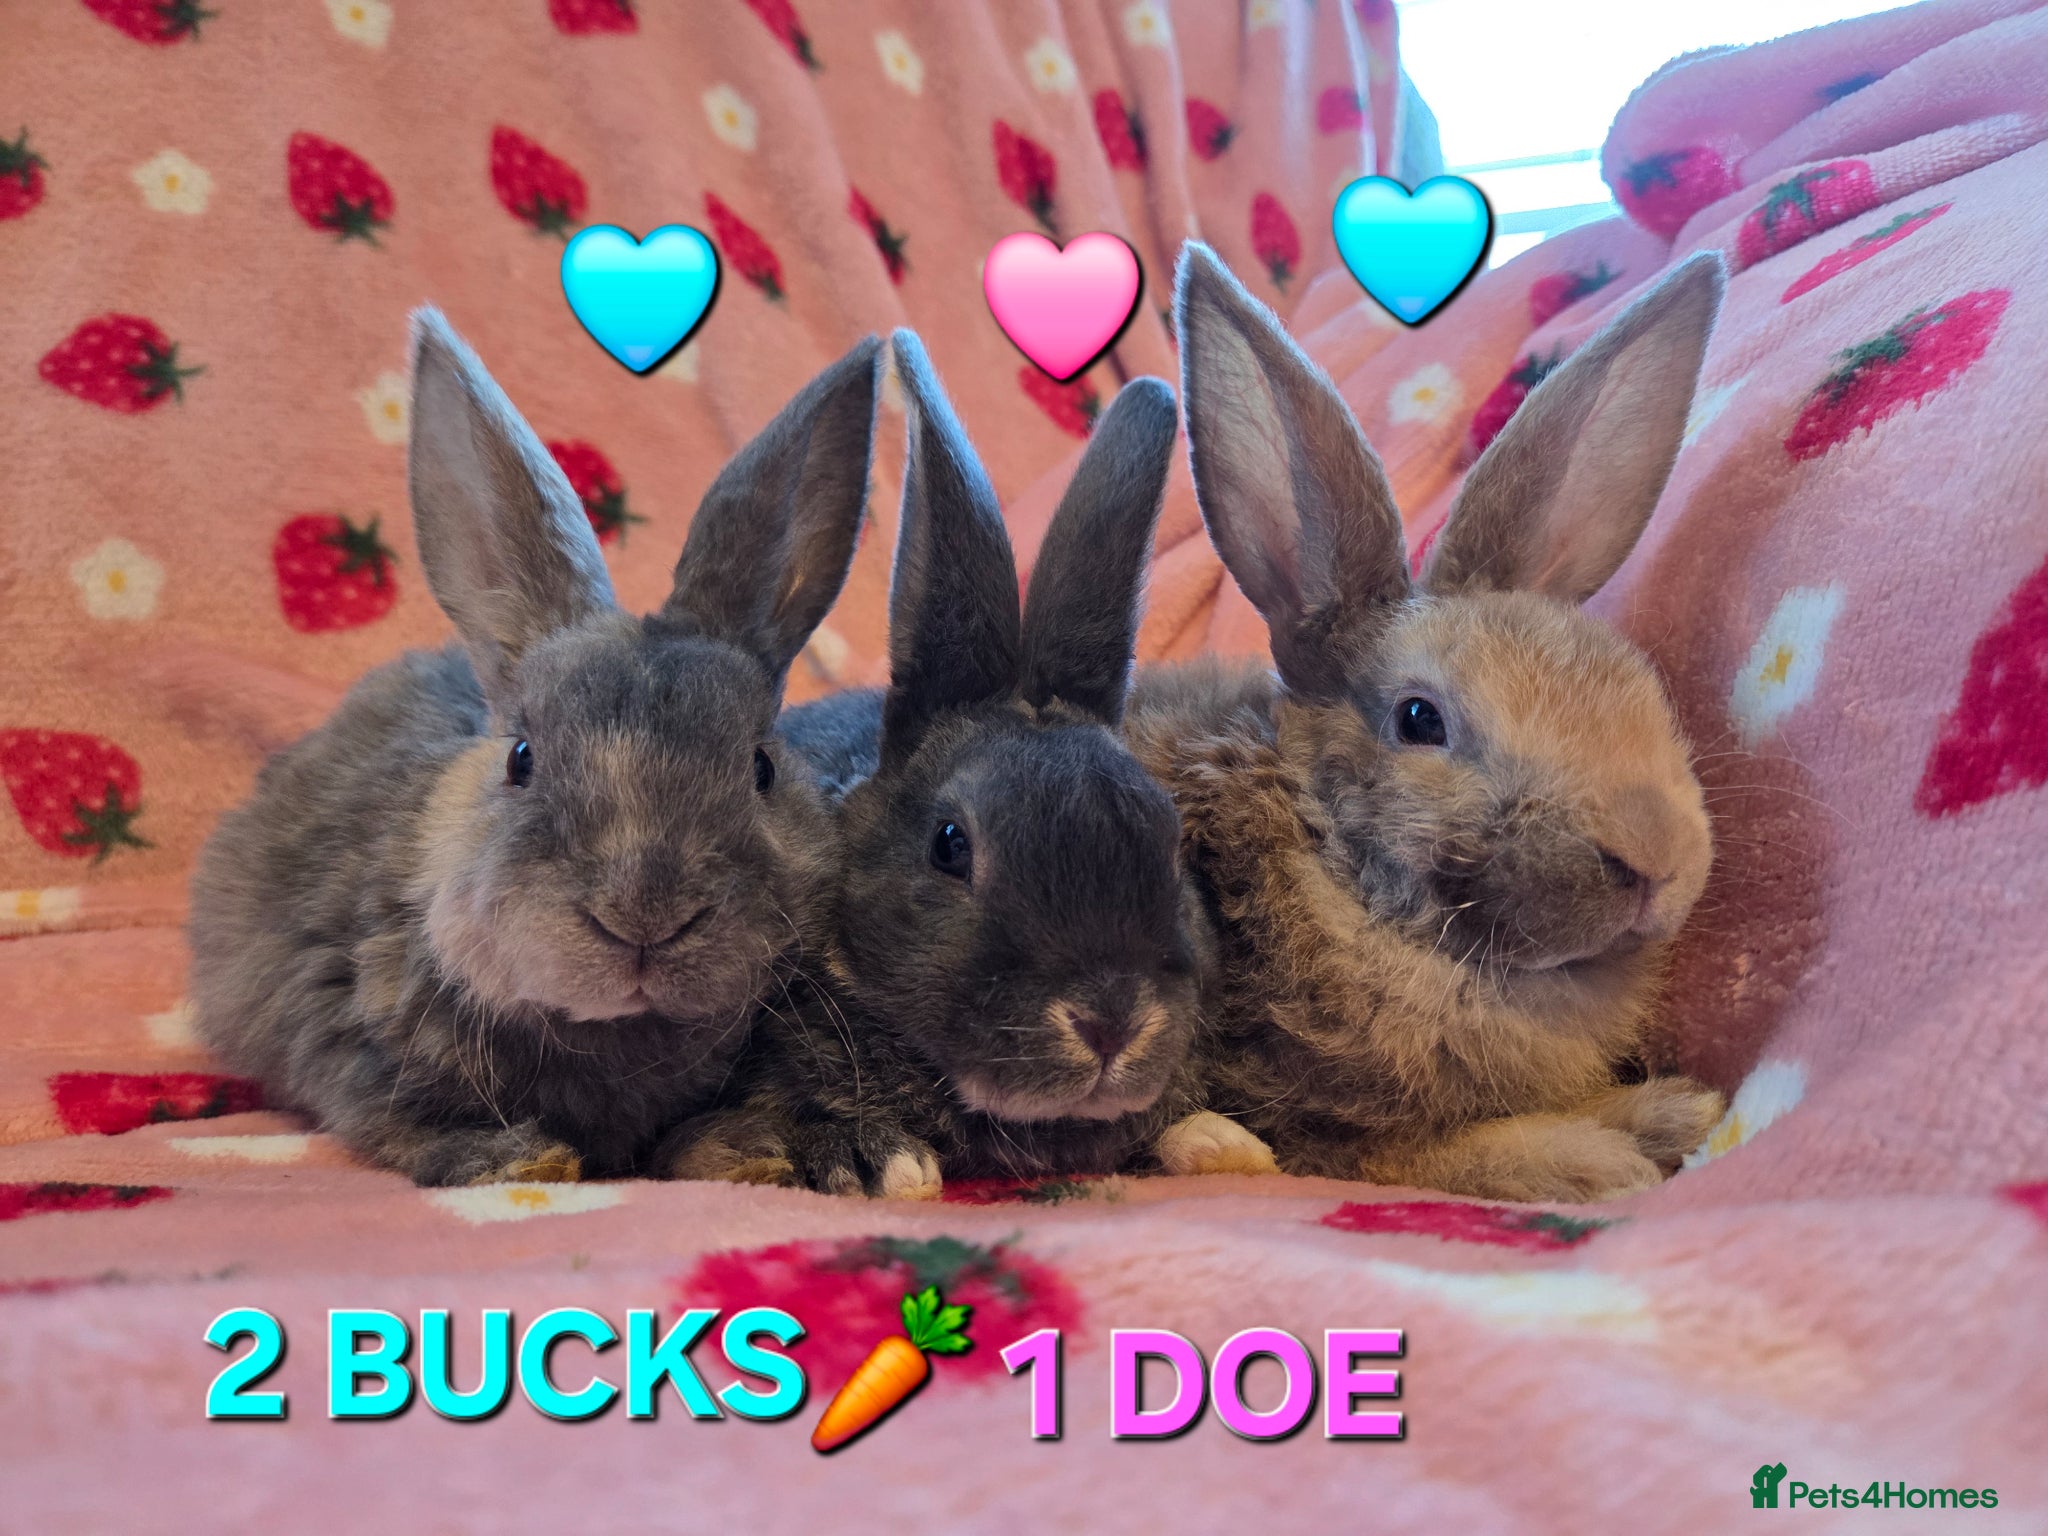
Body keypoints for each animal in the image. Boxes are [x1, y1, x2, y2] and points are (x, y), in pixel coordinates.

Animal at [187, 310, 882, 1187]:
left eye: (760, 767)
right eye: (521, 758)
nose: (644, 917)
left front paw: (751, 1150)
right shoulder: (340, 1035)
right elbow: (391, 1122)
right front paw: (521, 1160)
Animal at [1121, 242, 1731, 1203]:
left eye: (1640, 684)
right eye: (1418, 719)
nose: (1657, 859)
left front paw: (1678, 1110)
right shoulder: (1329, 1130)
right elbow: (1441, 1156)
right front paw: (1598, 1159)